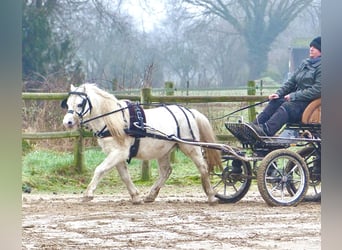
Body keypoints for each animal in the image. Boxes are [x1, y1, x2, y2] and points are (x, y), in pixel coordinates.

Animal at [61, 83, 222, 204]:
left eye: (80, 104)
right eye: (68, 103)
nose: (67, 122)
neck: (114, 121)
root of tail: (190, 112)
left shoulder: (119, 152)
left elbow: (100, 170)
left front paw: (88, 194)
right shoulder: (116, 154)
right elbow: (125, 176)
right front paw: (135, 196)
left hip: (190, 146)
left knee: (203, 167)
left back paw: (211, 195)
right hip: (163, 150)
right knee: (166, 171)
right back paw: (151, 195)